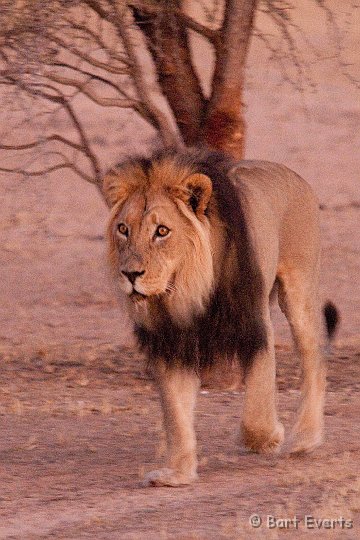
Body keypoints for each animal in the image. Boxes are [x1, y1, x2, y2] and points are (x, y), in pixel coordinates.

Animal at [102, 149, 334, 490]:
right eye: (123, 229)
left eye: (162, 231)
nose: (130, 274)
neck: (187, 291)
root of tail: (292, 174)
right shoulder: (171, 342)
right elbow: (175, 413)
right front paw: (177, 473)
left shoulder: (253, 325)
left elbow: (257, 405)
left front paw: (267, 438)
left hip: (299, 286)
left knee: (313, 357)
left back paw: (305, 437)